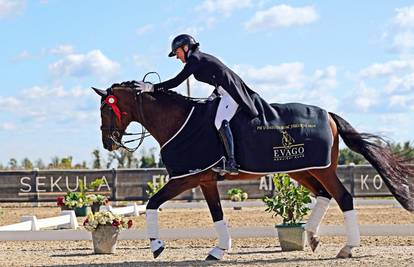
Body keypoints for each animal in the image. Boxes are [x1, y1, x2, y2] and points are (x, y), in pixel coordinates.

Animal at [92, 82, 412, 262]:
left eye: (105, 110)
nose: (108, 143)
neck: (179, 121)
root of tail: (329, 114)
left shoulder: (187, 177)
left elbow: (152, 203)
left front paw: (157, 246)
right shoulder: (205, 179)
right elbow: (217, 214)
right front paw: (218, 251)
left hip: (320, 170)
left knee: (344, 197)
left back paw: (347, 247)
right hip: (301, 169)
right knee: (324, 195)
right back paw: (311, 237)